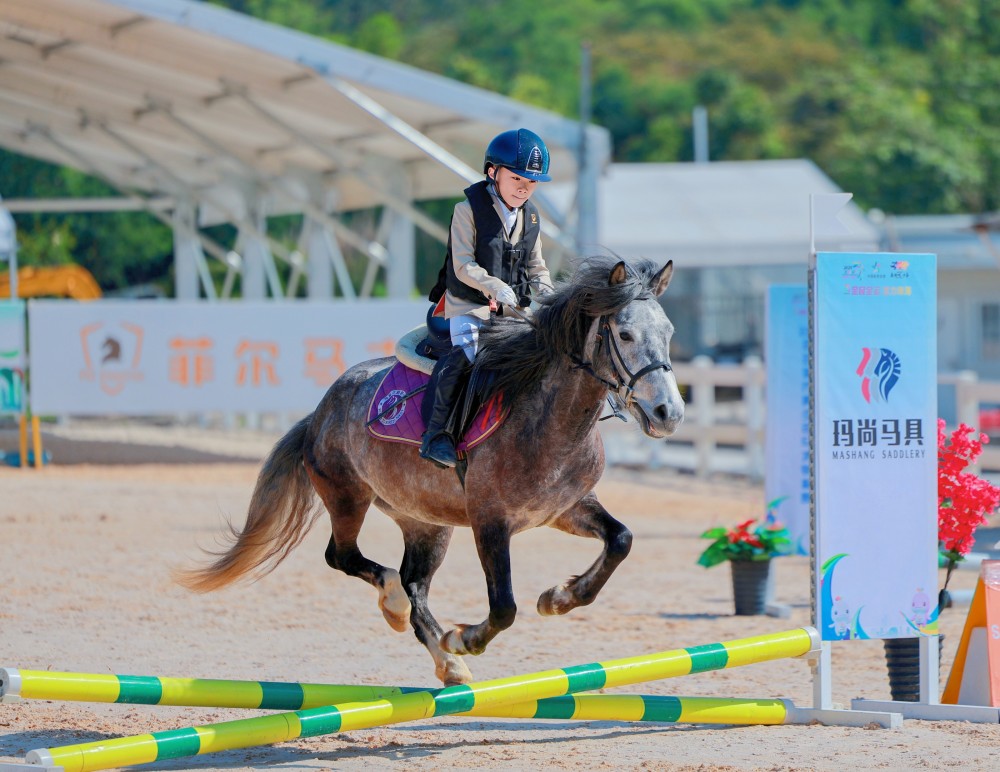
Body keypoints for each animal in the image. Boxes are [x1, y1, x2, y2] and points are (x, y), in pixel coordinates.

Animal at [176, 255, 685, 686]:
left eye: (669, 331)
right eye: (624, 335)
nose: (669, 413)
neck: (549, 417)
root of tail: (320, 412)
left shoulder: (564, 508)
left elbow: (620, 540)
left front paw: (559, 597)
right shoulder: (490, 521)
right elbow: (504, 606)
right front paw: (466, 637)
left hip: (426, 523)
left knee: (414, 582)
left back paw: (446, 661)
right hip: (347, 497)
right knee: (347, 559)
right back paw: (402, 612)